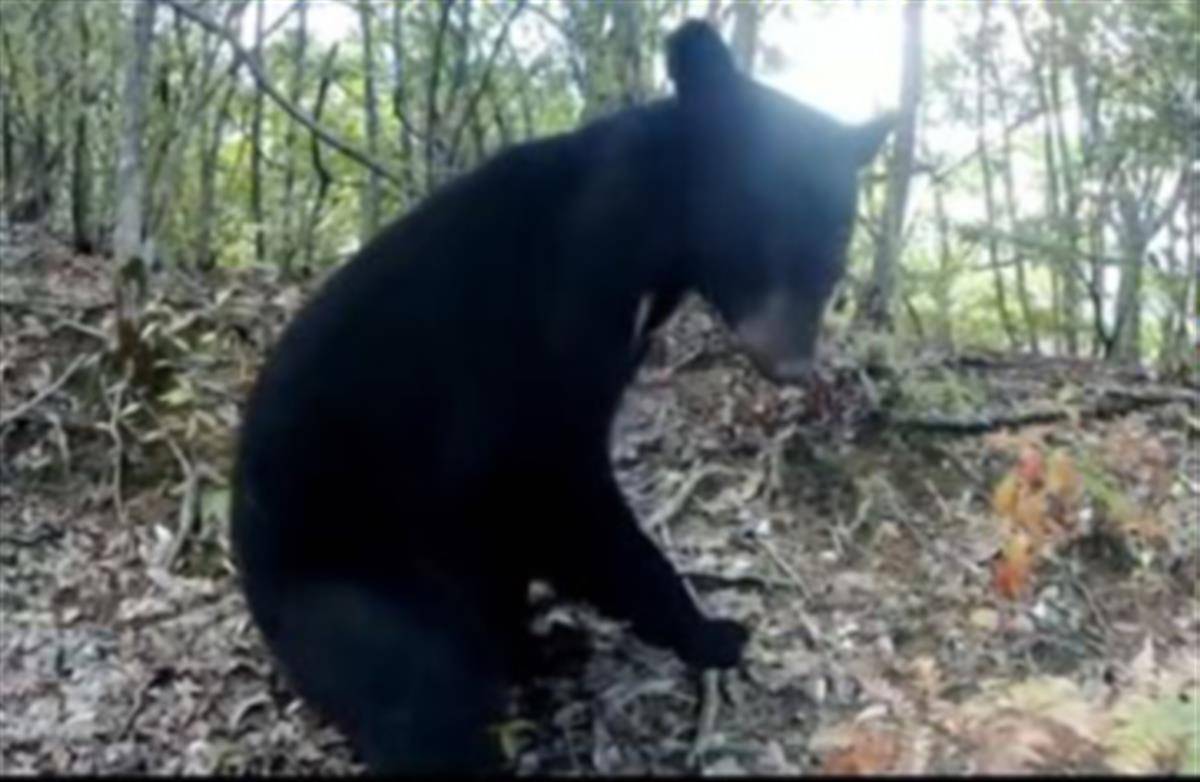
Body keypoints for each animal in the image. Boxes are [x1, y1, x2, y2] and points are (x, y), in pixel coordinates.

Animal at [231, 19, 892, 777]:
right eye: (760, 219)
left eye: (837, 241)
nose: (794, 363)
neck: (645, 240)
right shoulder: (544, 331)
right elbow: (560, 483)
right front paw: (711, 631)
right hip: (352, 581)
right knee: (423, 695)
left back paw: (542, 648)